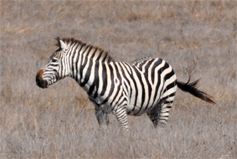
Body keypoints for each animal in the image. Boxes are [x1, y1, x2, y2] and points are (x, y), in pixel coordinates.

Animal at [35, 36, 215, 134]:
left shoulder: (120, 109)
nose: (37, 79)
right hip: (152, 106)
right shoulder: (99, 111)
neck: (97, 79)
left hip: (167, 101)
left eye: (54, 60)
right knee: (157, 126)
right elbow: (103, 134)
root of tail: (162, 60)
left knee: (162, 127)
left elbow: (125, 133)